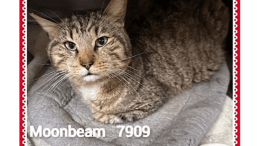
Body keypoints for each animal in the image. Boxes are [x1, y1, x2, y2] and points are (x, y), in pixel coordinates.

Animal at [31, 0, 230, 124]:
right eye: (70, 45)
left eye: (101, 41)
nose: (86, 64)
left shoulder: (153, 98)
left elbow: (111, 116)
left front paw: (101, 113)